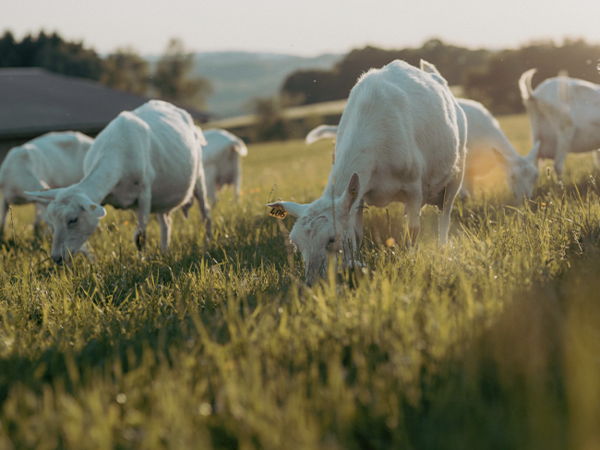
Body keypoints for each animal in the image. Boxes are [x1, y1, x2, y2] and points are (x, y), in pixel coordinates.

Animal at [27, 100, 212, 266]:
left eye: (73, 219)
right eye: (51, 219)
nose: (56, 258)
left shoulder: (145, 194)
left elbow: (140, 237)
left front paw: (141, 262)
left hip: (199, 176)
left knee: (205, 212)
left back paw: (208, 243)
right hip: (163, 197)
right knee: (166, 224)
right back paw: (165, 252)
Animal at [268, 60, 468, 284]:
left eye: (331, 239)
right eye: (296, 244)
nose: (312, 283)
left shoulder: (414, 188)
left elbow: (413, 229)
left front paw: (411, 260)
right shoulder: (359, 193)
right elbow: (356, 232)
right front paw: (354, 263)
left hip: (455, 175)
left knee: (445, 216)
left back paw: (442, 247)